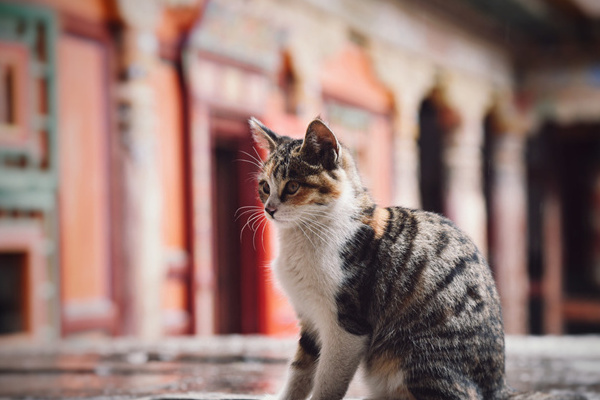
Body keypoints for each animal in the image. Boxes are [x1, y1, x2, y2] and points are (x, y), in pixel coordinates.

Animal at [248, 116, 584, 400]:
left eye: (293, 186)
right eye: (264, 187)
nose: (269, 209)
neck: (302, 236)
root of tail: (498, 386)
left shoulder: (347, 325)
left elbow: (327, 382)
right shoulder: (309, 320)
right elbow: (299, 373)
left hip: (414, 357)